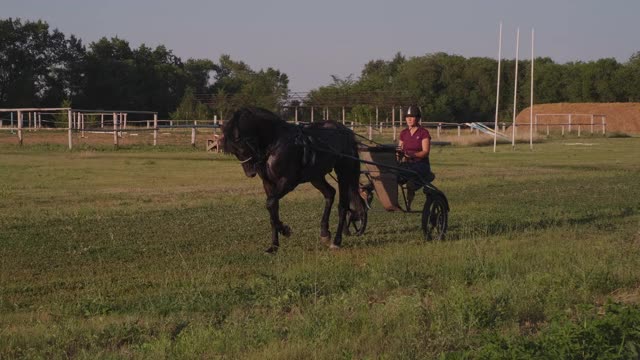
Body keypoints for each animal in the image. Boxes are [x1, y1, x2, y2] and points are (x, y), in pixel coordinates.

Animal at [224, 107, 364, 253]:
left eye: (242, 146)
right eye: (234, 151)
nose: (250, 173)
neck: (276, 143)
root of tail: (345, 131)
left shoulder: (288, 181)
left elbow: (270, 203)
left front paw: (285, 230)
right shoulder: (268, 184)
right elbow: (272, 210)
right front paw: (274, 245)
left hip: (344, 173)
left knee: (343, 206)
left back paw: (336, 241)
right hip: (316, 176)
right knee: (330, 193)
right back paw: (325, 233)